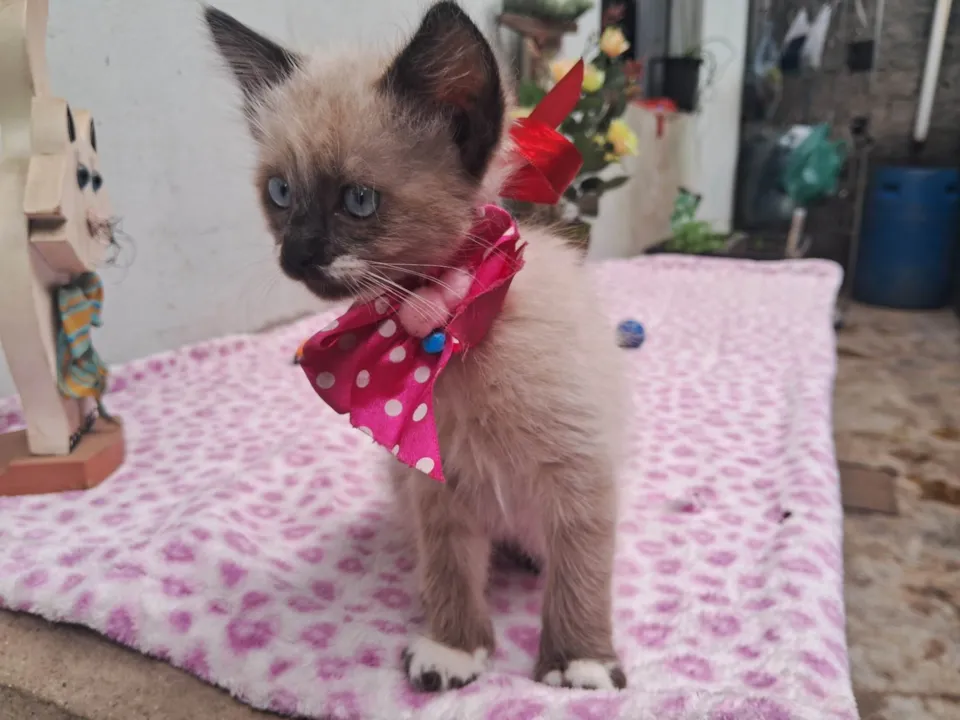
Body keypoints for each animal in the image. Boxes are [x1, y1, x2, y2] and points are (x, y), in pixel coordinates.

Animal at [204, 0, 627, 693]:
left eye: (359, 200)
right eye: (281, 194)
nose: (295, 257)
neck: (450, 320)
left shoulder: (579, 473)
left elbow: (581, 574)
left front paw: (579, 661)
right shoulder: (438, 482)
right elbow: (450, 567)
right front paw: (454, 649)